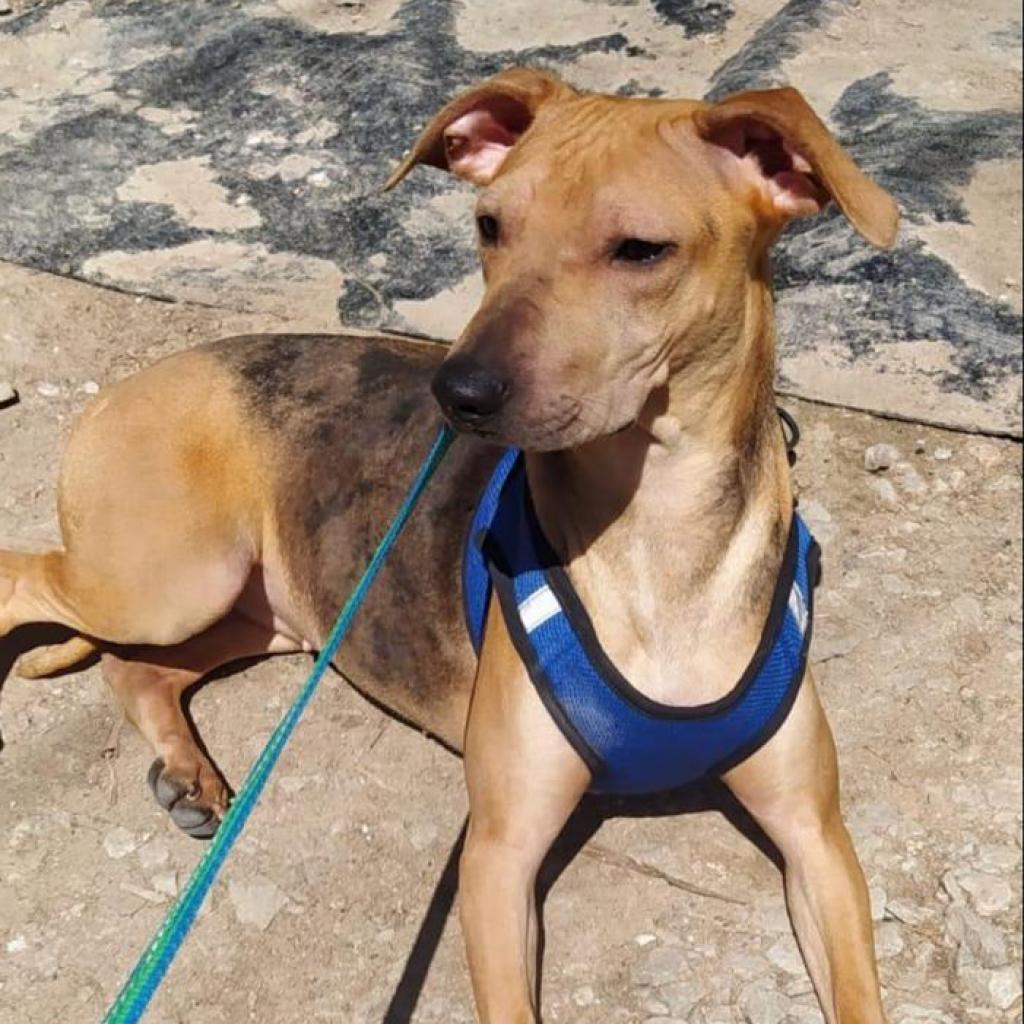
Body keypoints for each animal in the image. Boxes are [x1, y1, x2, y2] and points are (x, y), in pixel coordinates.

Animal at [0, 70, 897, 1024]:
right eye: (490, 225)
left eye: (641, 250)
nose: (457, 390)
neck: (660, 536)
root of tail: (133, 381)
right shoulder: (499, 853)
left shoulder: (816, 838)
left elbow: (859, 991)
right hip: (166, 580)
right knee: (25, 581)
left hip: (268, 611)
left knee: (137, 670)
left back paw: (186, 773)